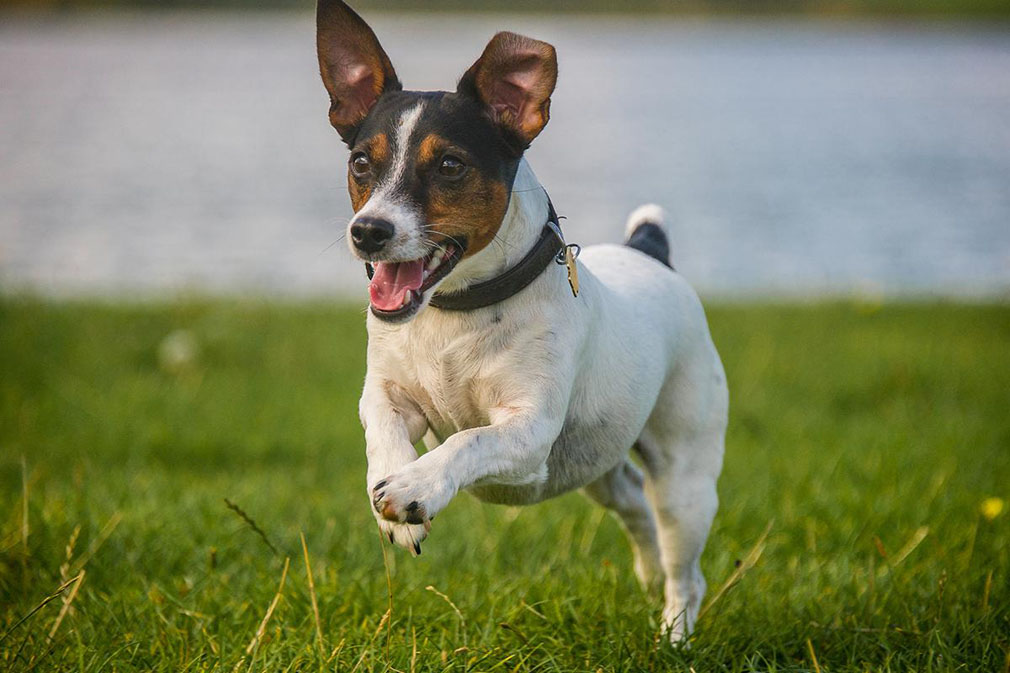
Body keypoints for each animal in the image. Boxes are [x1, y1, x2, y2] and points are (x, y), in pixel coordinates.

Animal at [315, 1, 727, 638]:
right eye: (362, 162)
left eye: (450, 165)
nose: (368, 231)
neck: (456, 311)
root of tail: (649, 250)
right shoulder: (387, 392)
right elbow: (382, 425)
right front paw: (395, 498)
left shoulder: (528, 429)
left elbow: (468, 440)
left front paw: (415, 486)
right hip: (597, 461)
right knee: (632, 499)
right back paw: (649, 569)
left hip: (685, 479)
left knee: (686, 566)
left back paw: (674, 634)